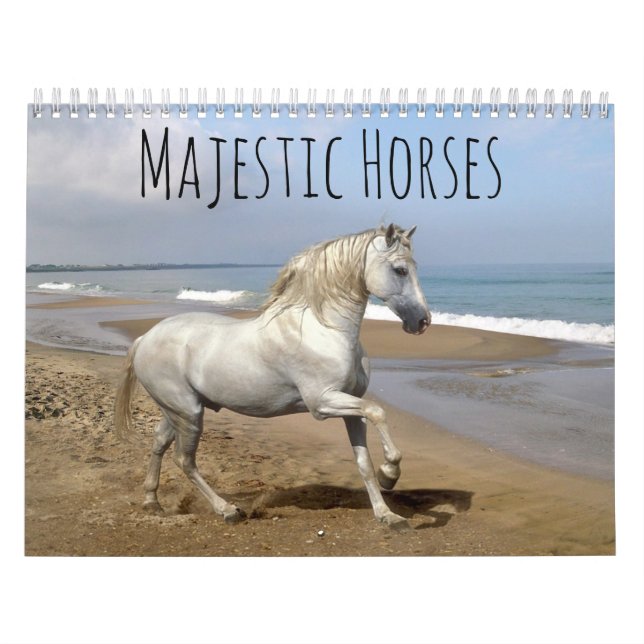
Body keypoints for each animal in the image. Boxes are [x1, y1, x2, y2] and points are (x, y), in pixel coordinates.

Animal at [114, 223, 430, 529]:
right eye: (400, 269)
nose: (422, 321)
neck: (323, 329)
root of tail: (145, 338)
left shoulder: (351, 407)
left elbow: (363, 461)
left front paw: (388, 515)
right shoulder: (322, 403)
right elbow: (378, 412)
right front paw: (390, 474)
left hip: (177, 410)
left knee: (159, 443)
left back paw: (152, 501)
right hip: (189, 413)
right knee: (185, 460)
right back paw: (227, 510)